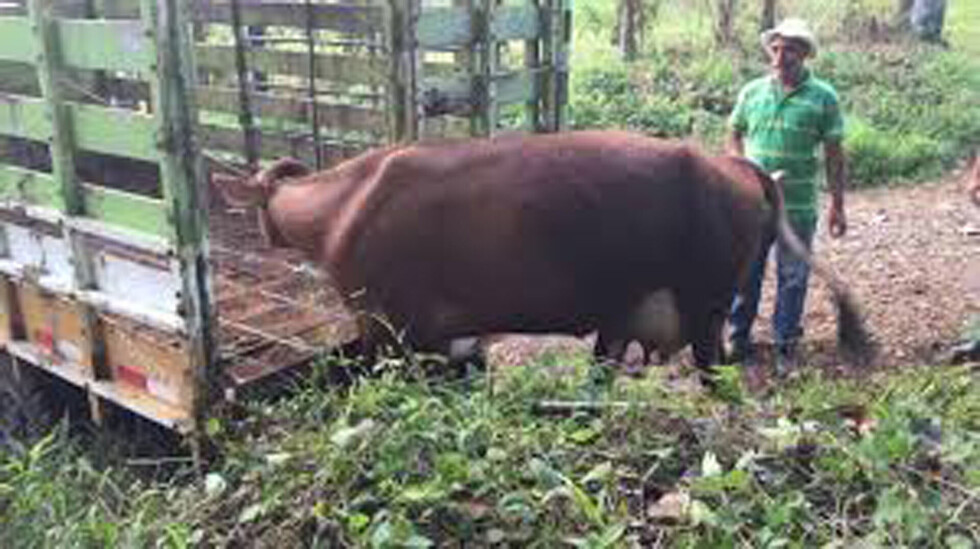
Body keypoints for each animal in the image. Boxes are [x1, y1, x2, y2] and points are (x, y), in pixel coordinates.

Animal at [212, 131, 873, 382]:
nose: (261, 236)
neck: (345, 205)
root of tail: (734, 165)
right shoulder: (448, 339)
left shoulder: (384, 328)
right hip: (624, 316)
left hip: (705, 309)